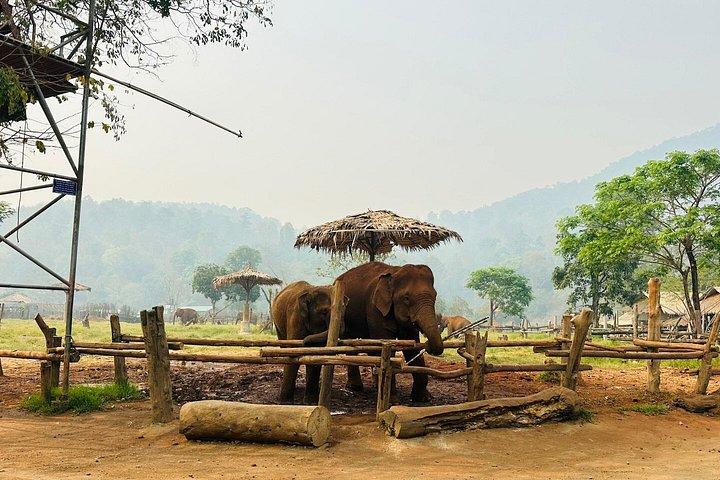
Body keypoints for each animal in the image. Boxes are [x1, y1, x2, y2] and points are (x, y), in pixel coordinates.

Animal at [335, 262, 444, 403]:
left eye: (435, 296)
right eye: (406, 298)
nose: (429, 346)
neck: (395, 272)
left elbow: (412, 347)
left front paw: (423, 398)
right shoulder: (375, 309)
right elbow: (386, 345)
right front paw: (392, 400)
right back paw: (356, 387)